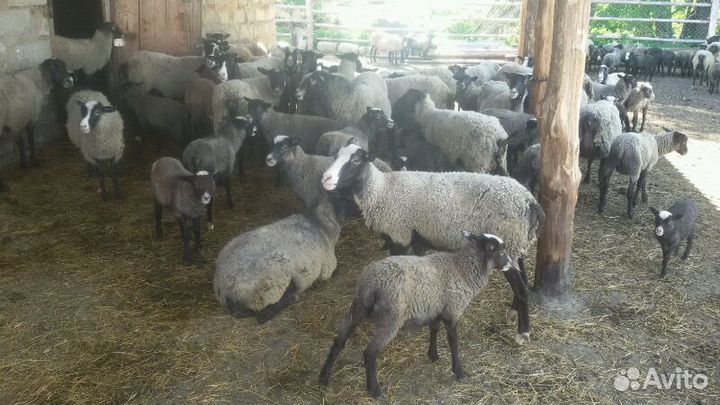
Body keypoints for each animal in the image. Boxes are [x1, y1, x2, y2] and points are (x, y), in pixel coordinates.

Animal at [213, 196, 342, 323]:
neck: (320, 224)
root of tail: (225, 288)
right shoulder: (327, 268)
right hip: (272, 280)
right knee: (264, 314)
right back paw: (292, 299)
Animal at [318, 231, 529, 399]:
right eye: (500, 251)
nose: (511, 264)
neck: (462, 269)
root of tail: (372, 283)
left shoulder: (436, 307)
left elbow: (433, 330)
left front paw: (433, 355)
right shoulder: (452, 311)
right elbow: (454, 343)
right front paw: (459, 372)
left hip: (358, 307)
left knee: (339, 340)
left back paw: (323, 378)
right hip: (391, 319)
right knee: (369, 352)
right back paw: (375, 391)